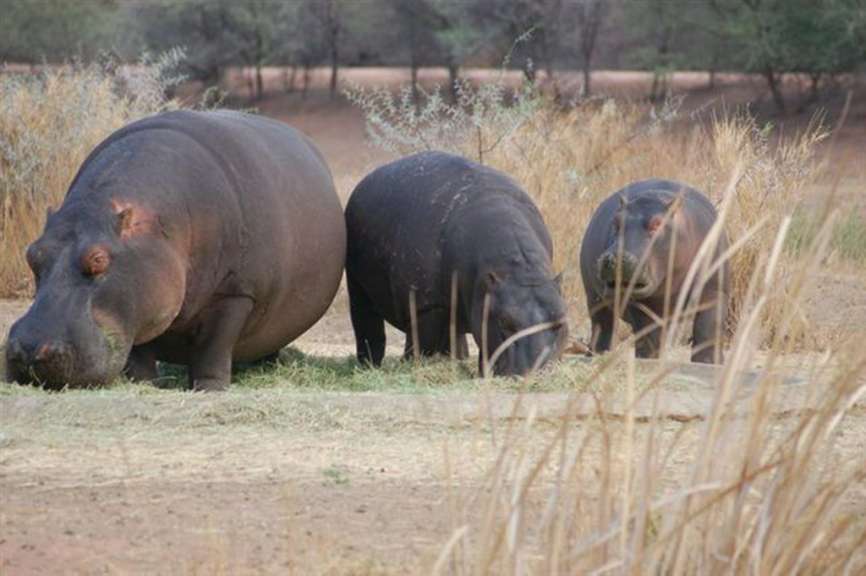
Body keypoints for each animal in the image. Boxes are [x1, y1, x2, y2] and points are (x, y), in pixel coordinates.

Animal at [5, 110, 346, 390]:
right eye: (32, 254)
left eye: (98, 259)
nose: (28, 350)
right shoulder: (142, 300)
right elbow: (140, 349)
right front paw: (143, 384)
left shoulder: (235, 294)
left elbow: (214, 347)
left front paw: (209, 388)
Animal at [345, 151, 567, 376]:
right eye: (504, 321)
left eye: (560, 322)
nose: (536, 372)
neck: (519, 269)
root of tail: (367, 179)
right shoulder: (426, 306)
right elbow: (421, 344)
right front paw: (413, 366)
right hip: (358, 286)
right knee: (368, 326)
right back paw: (369, 366)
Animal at [579, 179, 729, 364]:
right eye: (616, 222)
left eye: (657, 223)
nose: (615, 257)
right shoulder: (640, 303)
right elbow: (648, 334)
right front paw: (648, 360)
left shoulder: (714, 290)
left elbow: (707, 329)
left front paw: (709, 362)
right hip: (594, 298)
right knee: (602, 325)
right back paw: (596, 355)